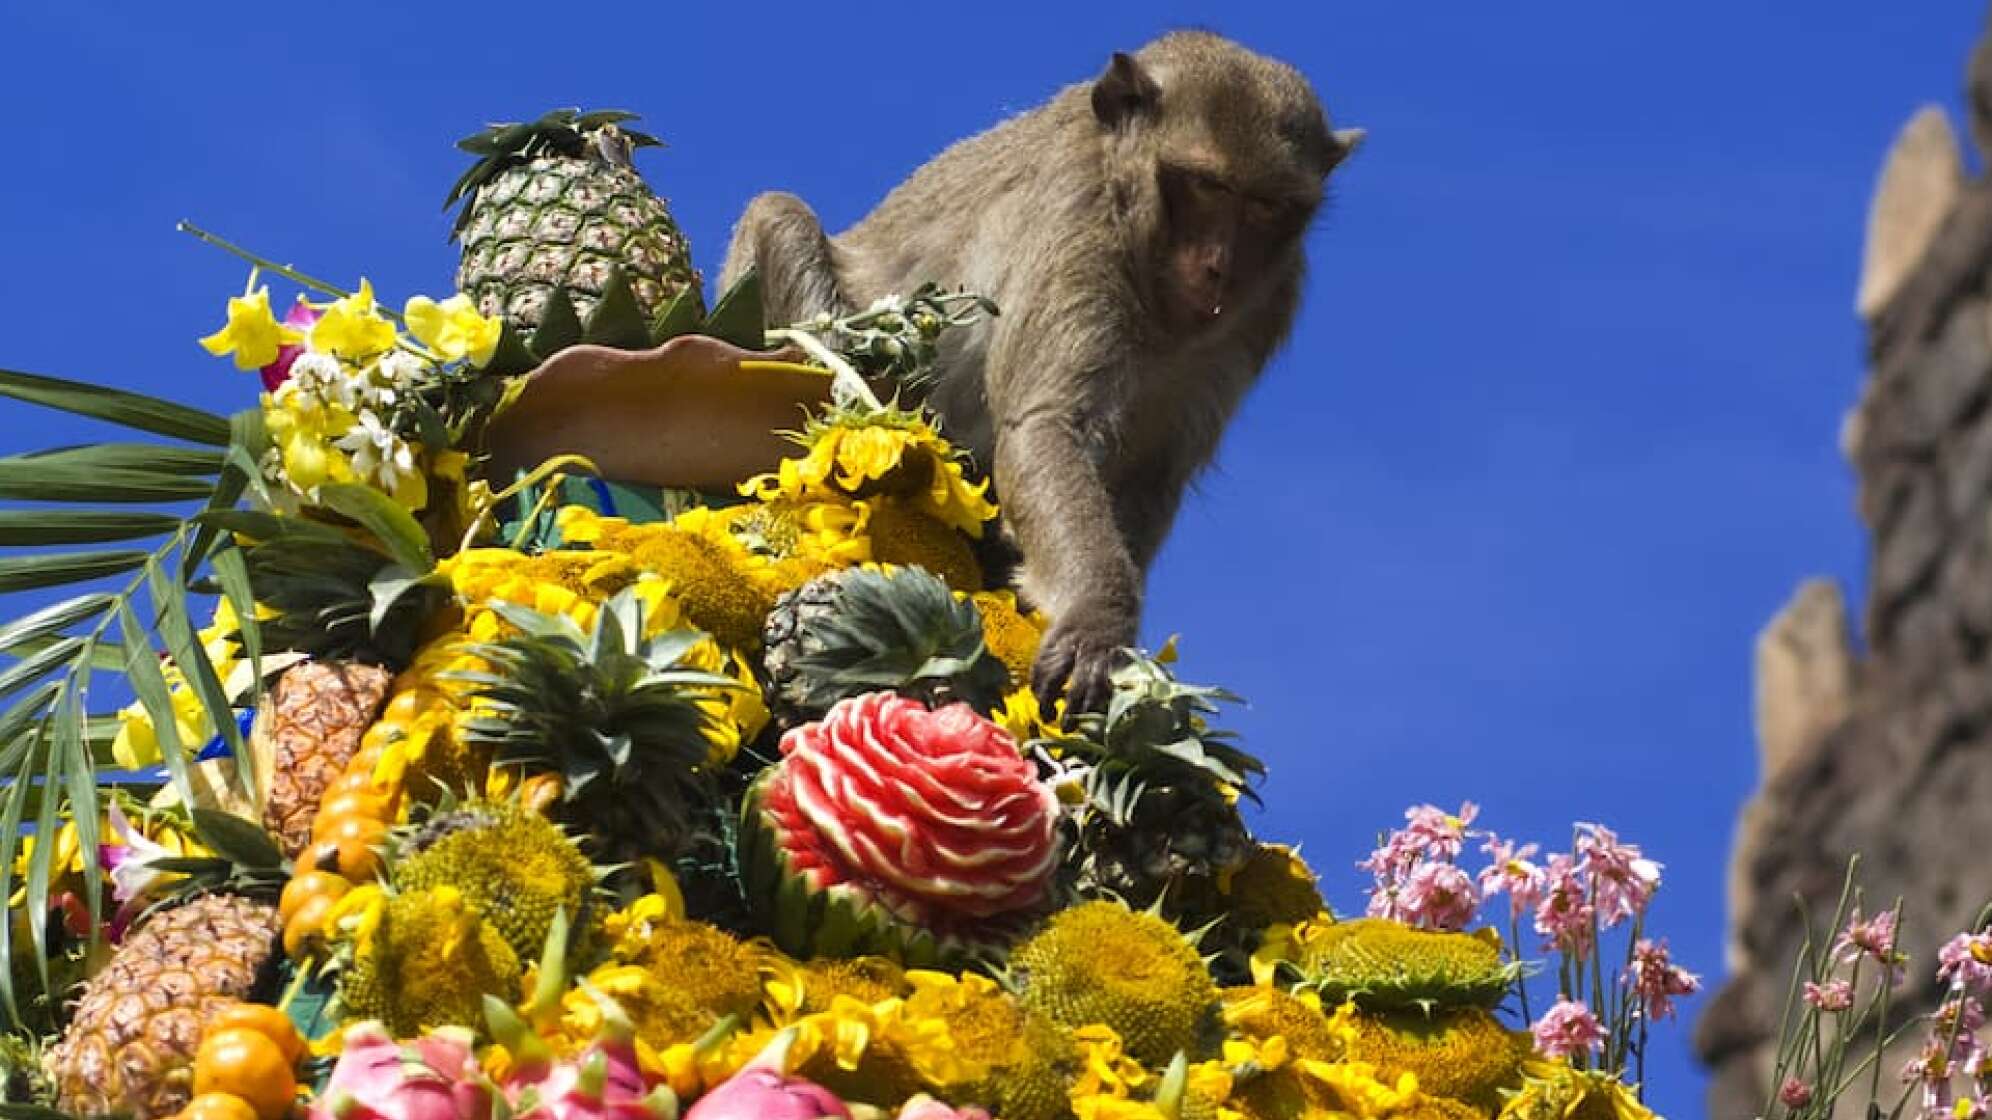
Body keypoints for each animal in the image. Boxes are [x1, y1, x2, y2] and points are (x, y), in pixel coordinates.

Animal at [725, 32, 1362, 713]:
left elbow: (1152, 476)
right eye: (1206, 185)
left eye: (1266, 206)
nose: (1221, 268)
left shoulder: (1265, 305)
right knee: (779, 216)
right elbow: (1045, 426)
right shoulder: (1082, 221)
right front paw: (1097, 619)